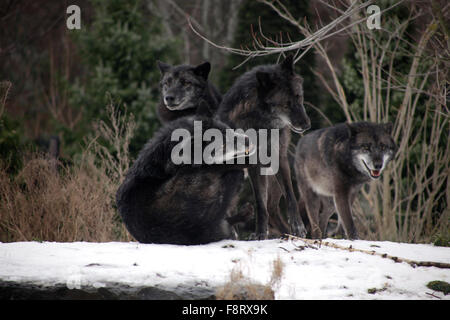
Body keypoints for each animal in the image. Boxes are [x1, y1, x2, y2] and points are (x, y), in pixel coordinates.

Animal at [217, 55, 310, 240]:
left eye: (299, 97)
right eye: (286, 105)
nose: (306, 125)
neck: (263, 124)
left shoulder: (279, 158)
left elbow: (291, 197)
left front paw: (298, 228)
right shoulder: (254, 164)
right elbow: (260, 204)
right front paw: (260, 233)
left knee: (272, 211)